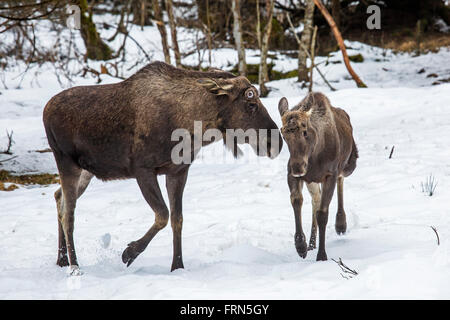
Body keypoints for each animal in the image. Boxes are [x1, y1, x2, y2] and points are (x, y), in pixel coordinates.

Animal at [42, 61, 282, 274]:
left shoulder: (178, 171)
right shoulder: (143, 170)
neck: (194, 126)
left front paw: (177, 266)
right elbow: (163, 215)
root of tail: (45, 110)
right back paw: (74, 266)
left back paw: (62, 259)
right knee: (68, 213)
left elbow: (177, 219)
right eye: (251, 104)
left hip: (86, 172)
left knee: (58, 197)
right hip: (66, 161)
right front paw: (129, 252)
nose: (276, 142)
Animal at [278, 91, 358, 262]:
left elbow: (323, 214)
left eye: (305, 130)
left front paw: (322, 255)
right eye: (283, 133)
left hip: (349, 165)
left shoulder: (329, 175)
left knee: (341, 179)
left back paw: (341, 223)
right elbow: (297, 201)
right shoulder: (293, 174)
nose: (298, 167)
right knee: (316, 199)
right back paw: (311, 243)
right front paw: (301, 246)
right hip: (312, 180)